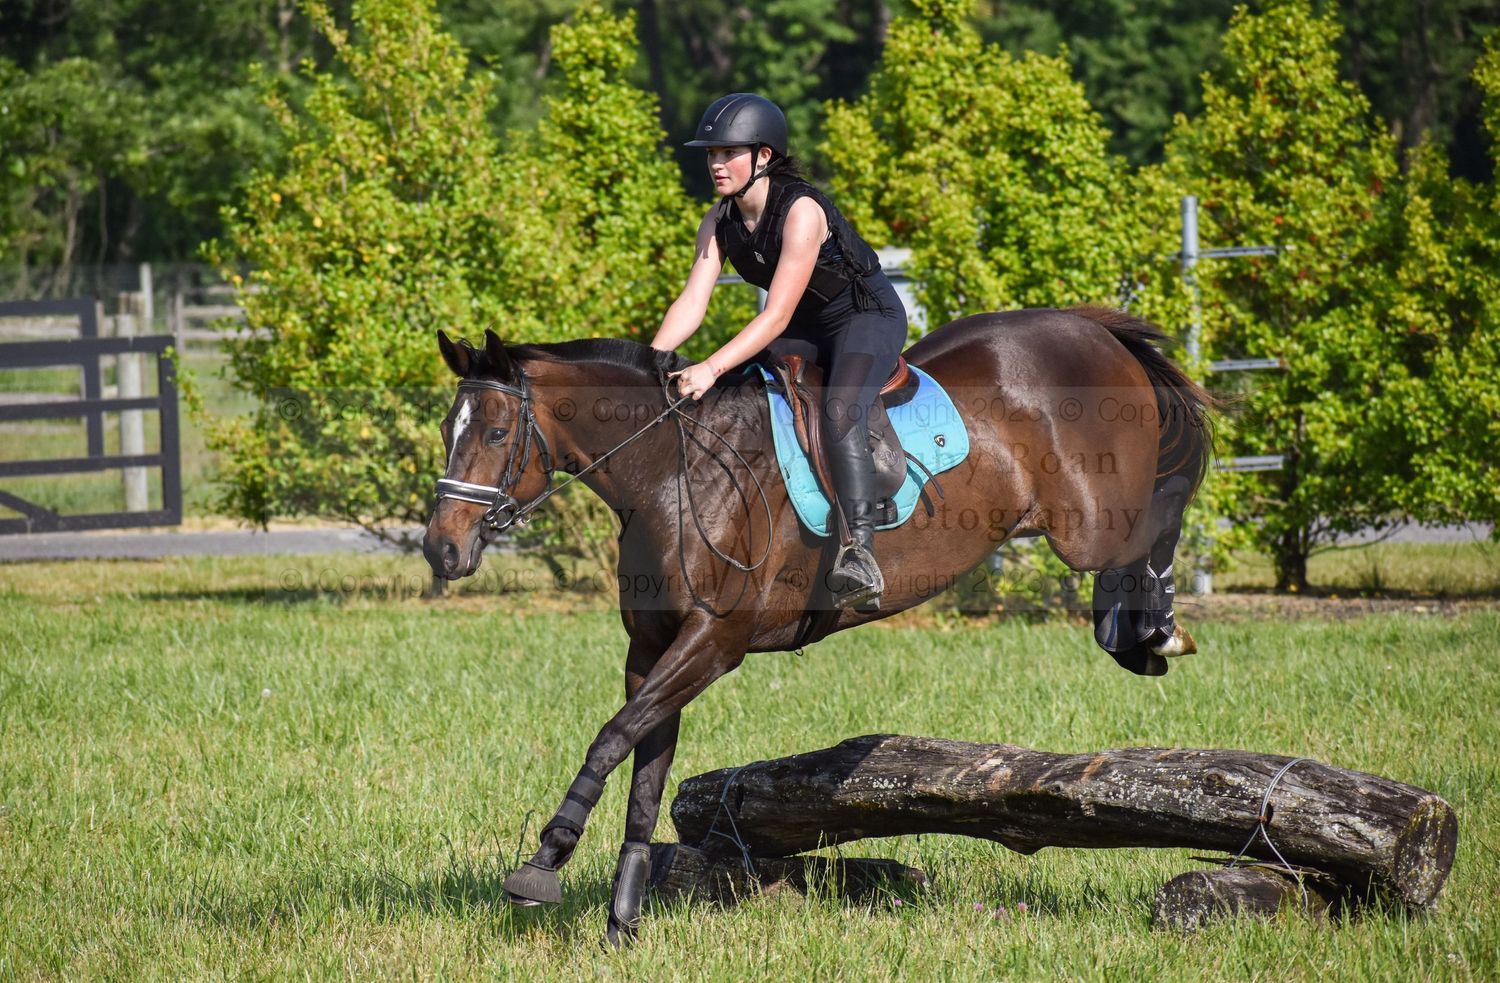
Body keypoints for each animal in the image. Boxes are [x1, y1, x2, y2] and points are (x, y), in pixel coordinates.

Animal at [421, 305, 1213, 945]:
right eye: (446, 430)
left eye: (496, 431)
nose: (441, 549)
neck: (669, 470)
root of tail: (1090, 329)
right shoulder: (651, 649)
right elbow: (644, 771)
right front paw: (622, 922)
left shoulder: (714, 641)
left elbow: (611, 738)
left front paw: (543, 862)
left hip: (1089, 526)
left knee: (1165, 507)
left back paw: (1156, 631)